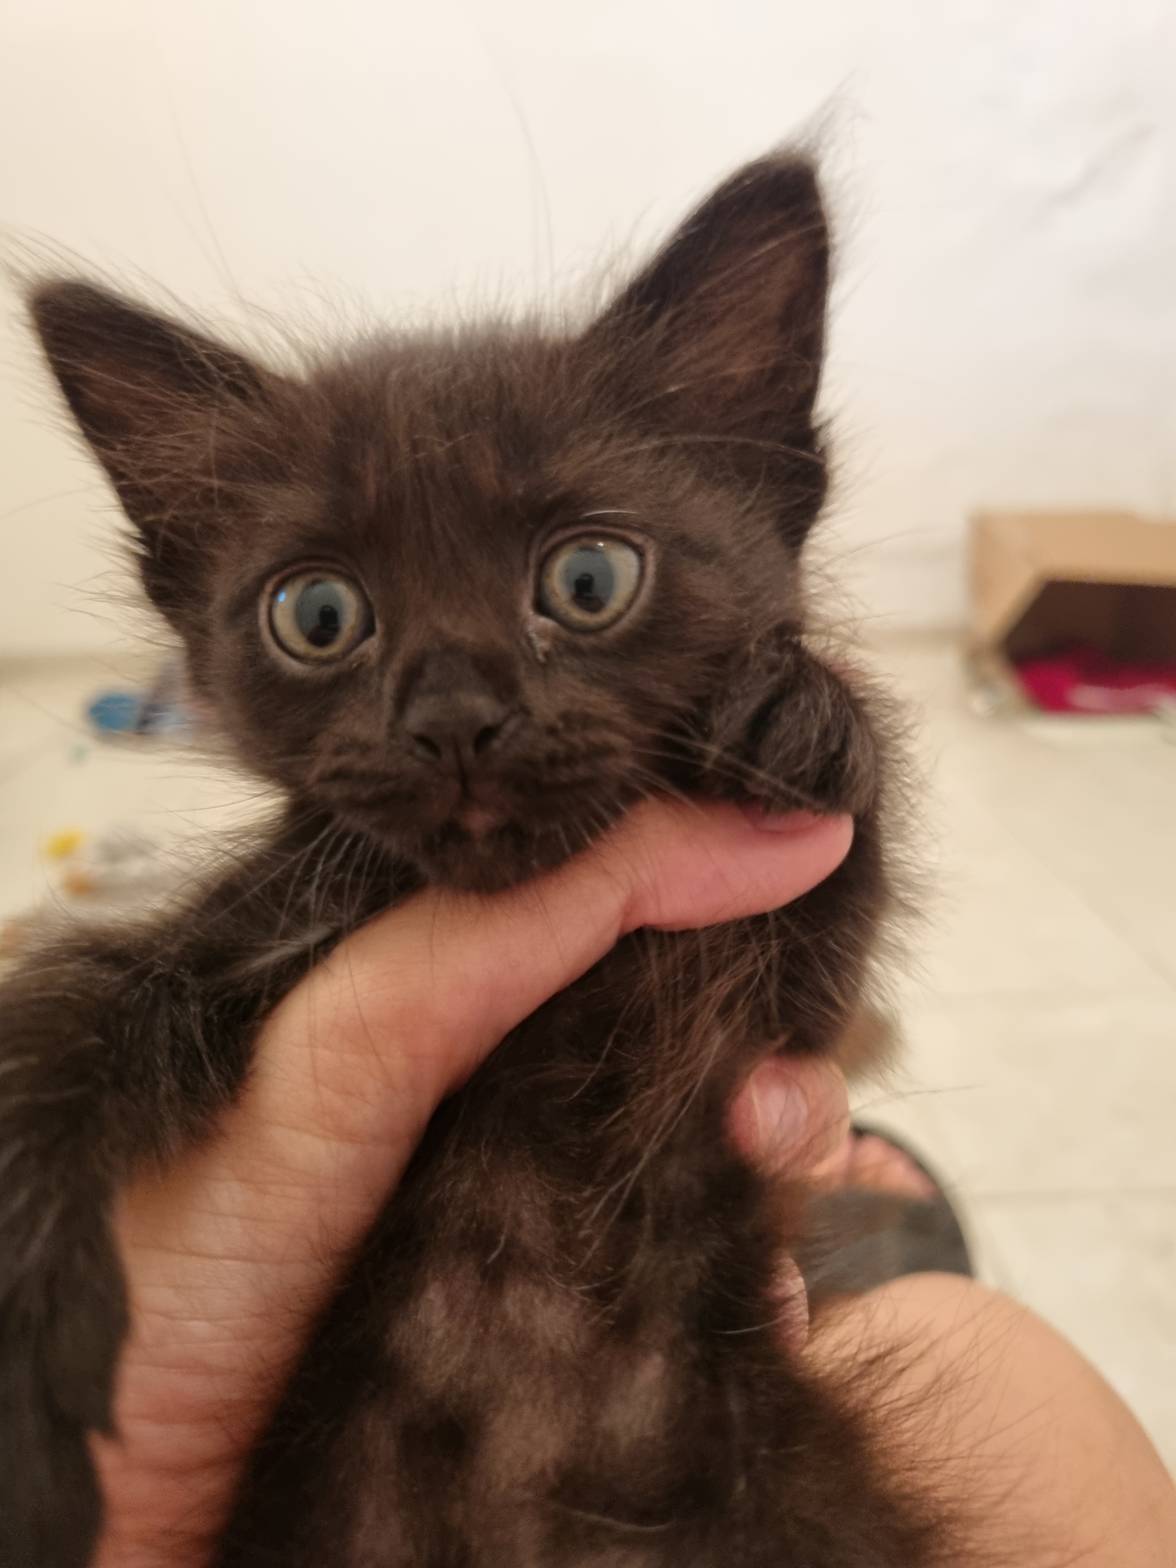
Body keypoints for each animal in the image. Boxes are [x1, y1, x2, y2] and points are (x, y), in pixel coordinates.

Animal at [1, 153, 949, 1566]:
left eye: (590, 577)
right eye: (317, 613)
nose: (452, 716)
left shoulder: (780, 985)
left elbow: (840, 861)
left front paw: (803, 712)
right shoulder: (254, 925)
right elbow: (65, 1002)